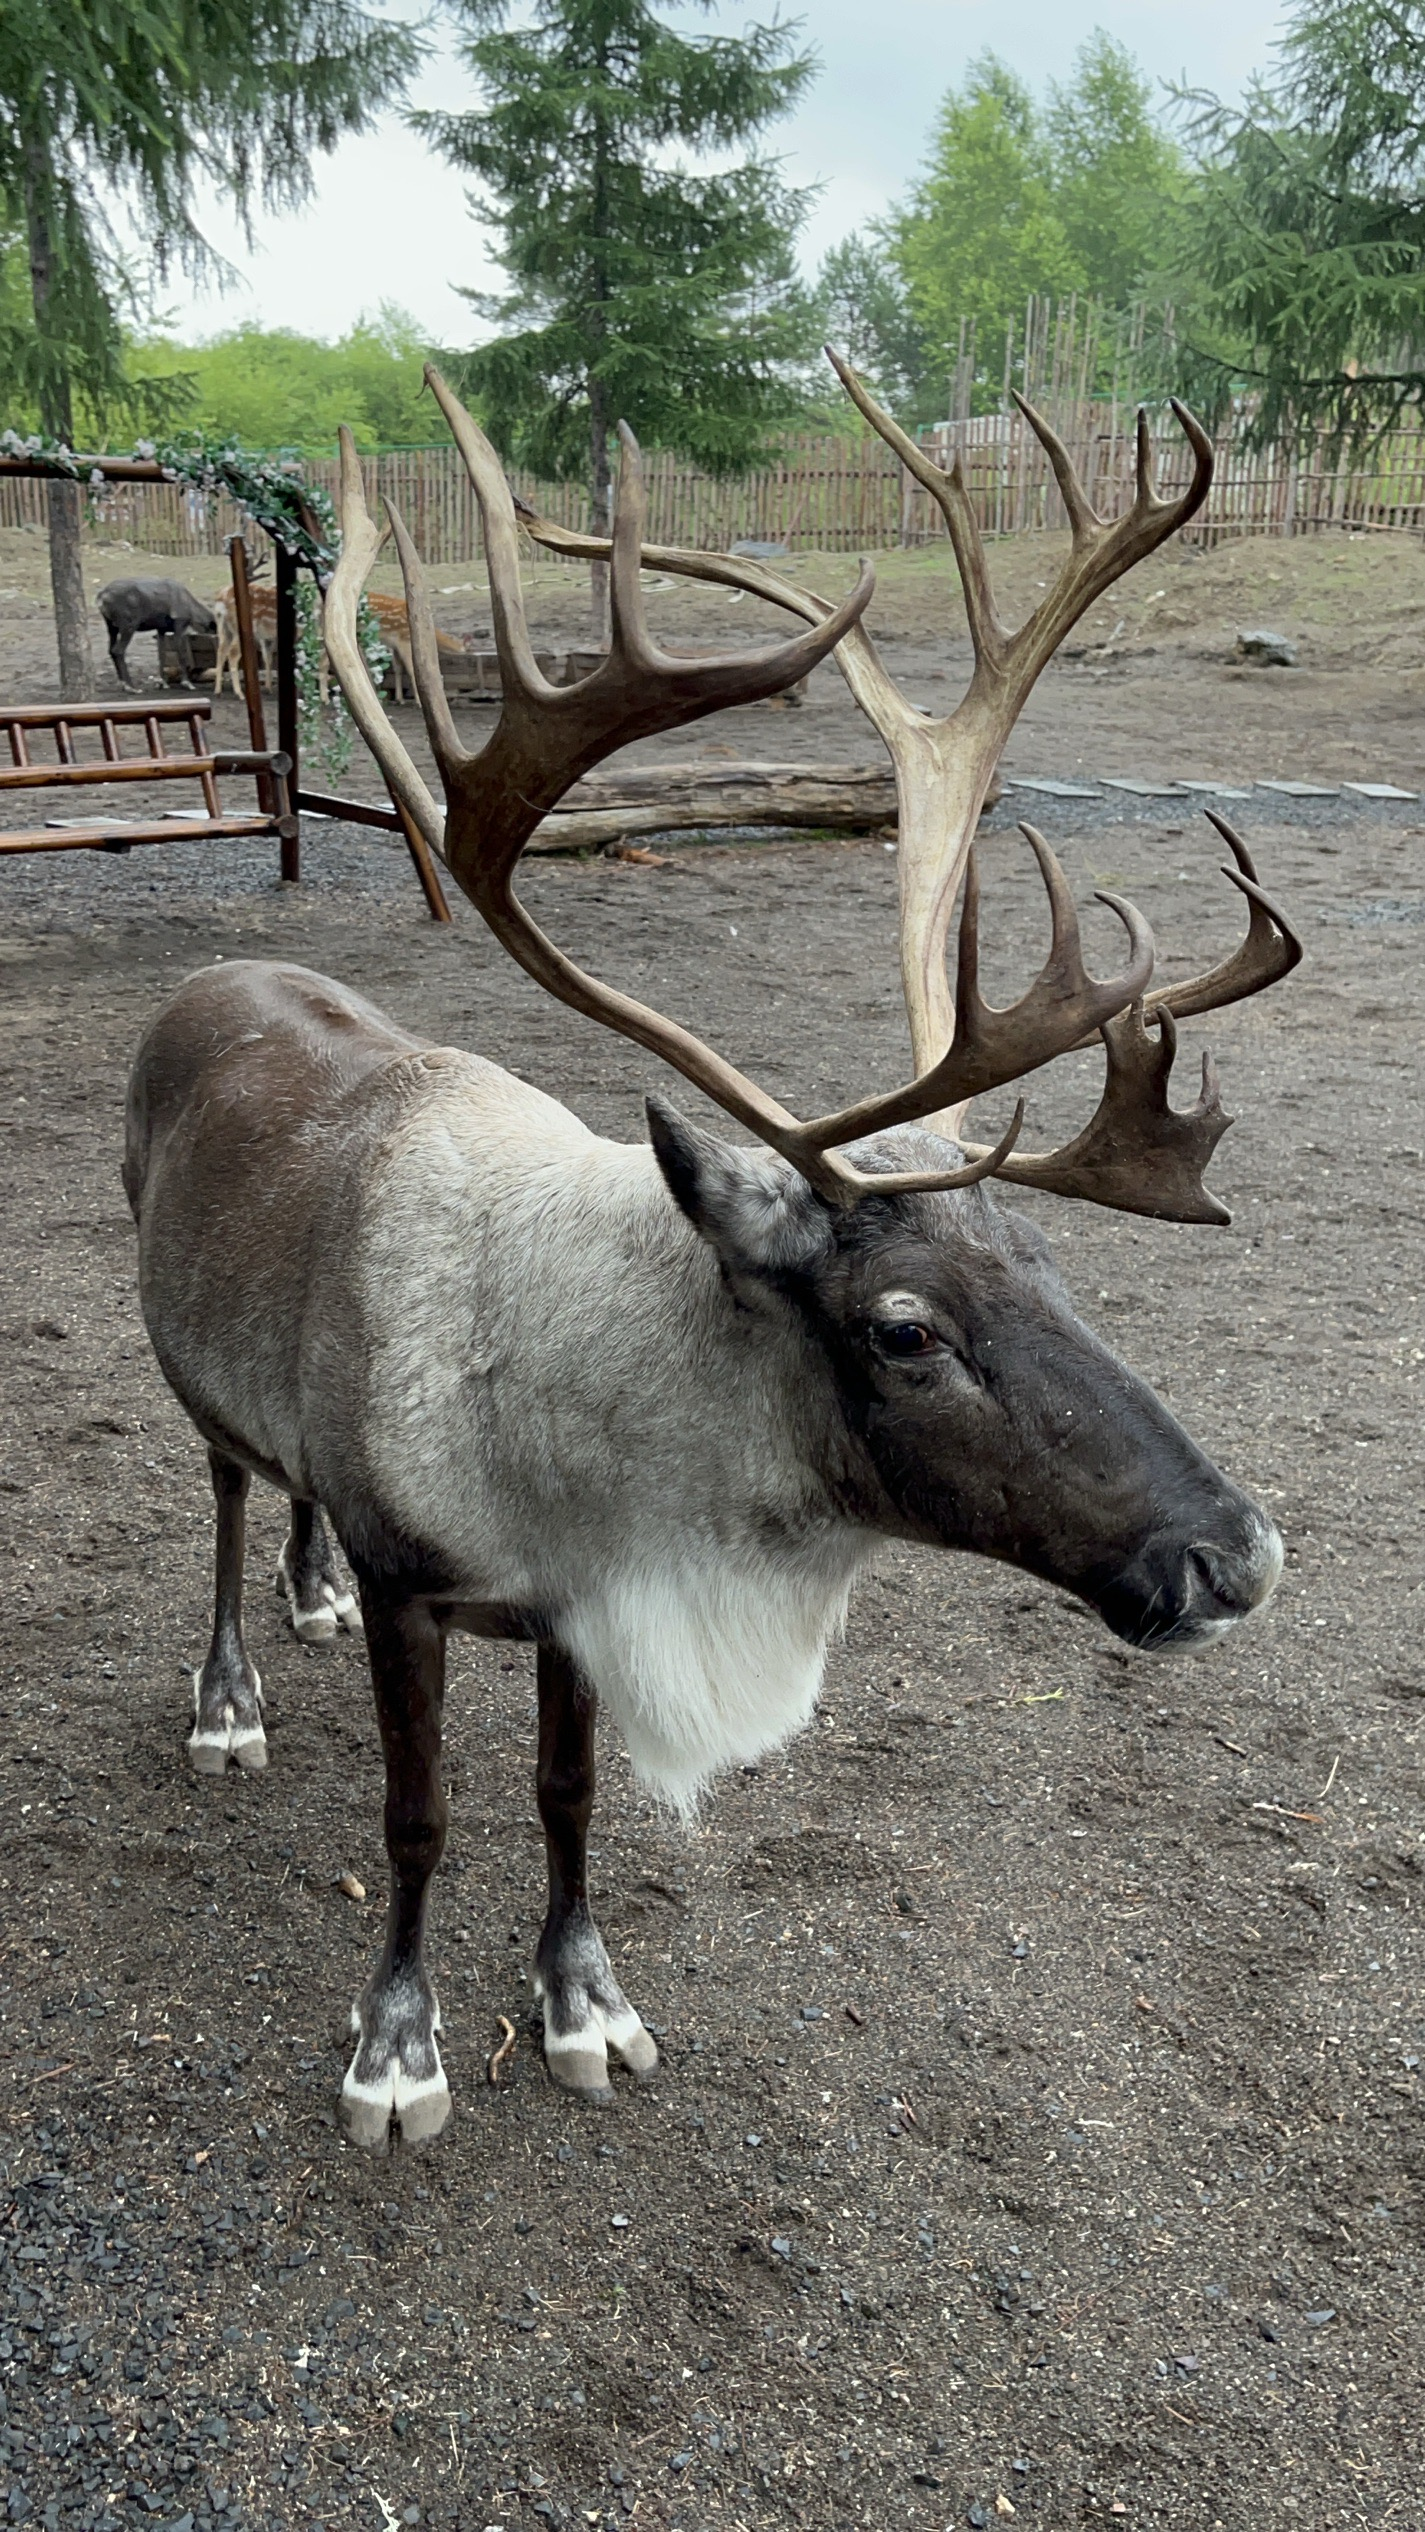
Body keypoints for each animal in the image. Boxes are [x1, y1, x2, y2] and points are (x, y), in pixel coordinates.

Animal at [123, 361, 1299, 2152]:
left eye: (1046, 1255)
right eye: (903, 1329)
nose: (1236, 1556)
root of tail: (212, 975)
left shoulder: (572, 1613)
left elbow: (564, 1798)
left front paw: (584, 2005)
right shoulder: (421, 1586)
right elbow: (418, 1818)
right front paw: (396, 2049)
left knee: (288, 1490)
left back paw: (298, 1602)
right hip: (184, 1366)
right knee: (226, 1490)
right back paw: (230, 1697)